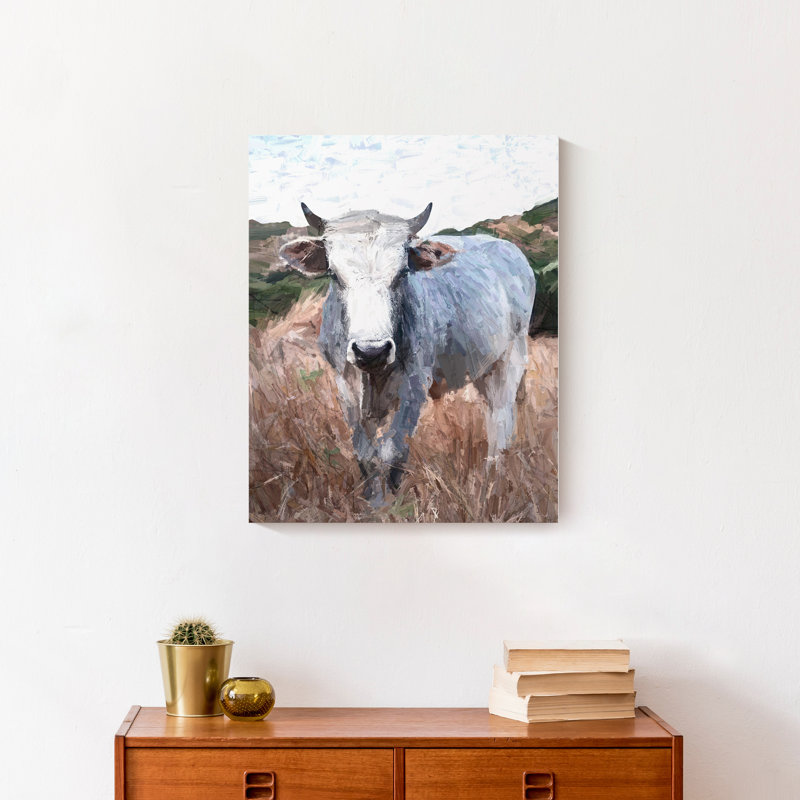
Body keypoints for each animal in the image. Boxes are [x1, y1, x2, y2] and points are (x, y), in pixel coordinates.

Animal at [279, 202, 535, 504]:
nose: (372, 351)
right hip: (485, 368)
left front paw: (391, 504)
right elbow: (365, 453)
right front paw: (372, 501)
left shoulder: (415, 383)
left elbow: (394, 450)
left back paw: (492, 481)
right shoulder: (346, 383)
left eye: (402, 274)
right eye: (334, 274)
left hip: (511, 358)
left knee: (501, 420)